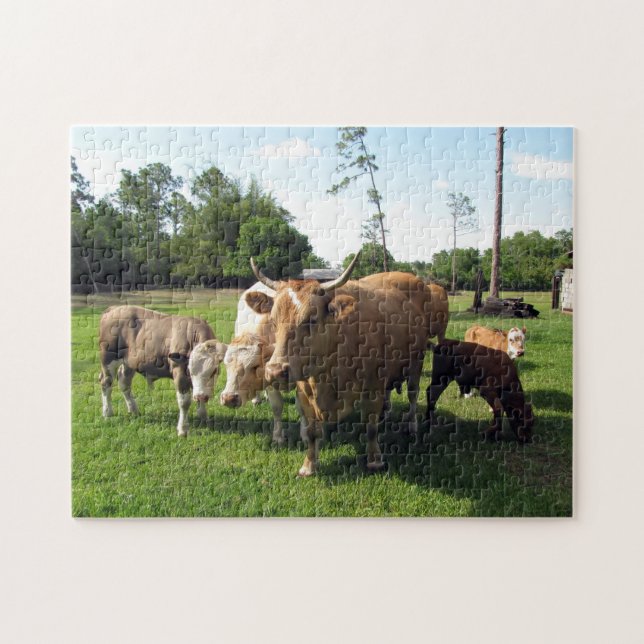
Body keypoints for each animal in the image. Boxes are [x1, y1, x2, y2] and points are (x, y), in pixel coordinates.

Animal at [98, 305, 226, 436]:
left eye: (214, 371)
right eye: (189, 371)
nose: (200, 396)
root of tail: (115, 307)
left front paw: (203, 416)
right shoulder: (179, 371)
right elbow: (184, 402)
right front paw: (183, 429)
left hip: (130, 362)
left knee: (124, 382)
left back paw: (133, 409)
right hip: (108, 357)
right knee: (106, 382)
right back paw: (107, 412)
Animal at [219, 282, 306, 446]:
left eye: (254, 366)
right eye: (226, 365)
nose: (228, 399)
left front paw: (305, 433)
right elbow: (277, 406)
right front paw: (278, 436)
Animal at [248, 253, 430, 476]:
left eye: (311, 319)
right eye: (273, 321)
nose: (275, 371)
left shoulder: (373, 387)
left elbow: (371, 427)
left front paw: (374, 460)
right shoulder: (305, 391)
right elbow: (312, 431)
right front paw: (309, 465)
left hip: (416, 363)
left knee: (413, 394)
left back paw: (411, 424)